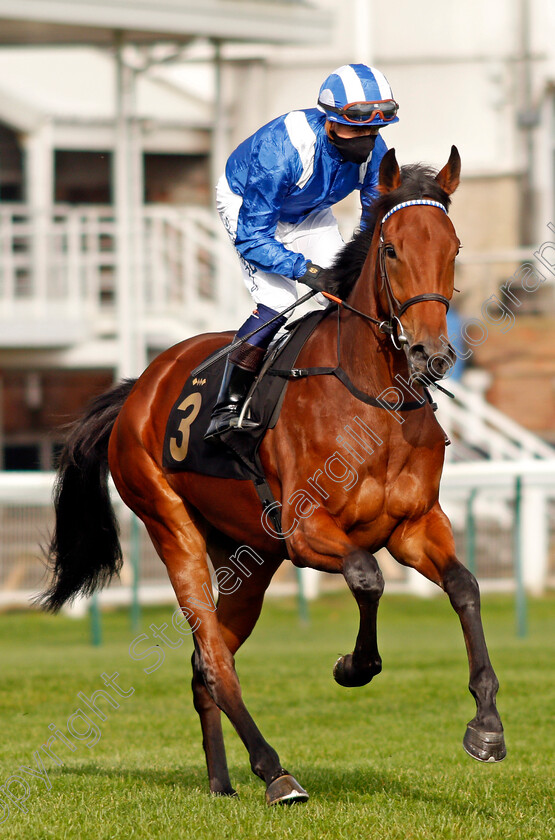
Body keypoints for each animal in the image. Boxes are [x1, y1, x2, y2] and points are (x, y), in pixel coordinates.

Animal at [41, 149, 506, 808]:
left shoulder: (415, 525)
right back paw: (274, 771)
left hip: (249, 559)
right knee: (213, 659)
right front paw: (353, 667)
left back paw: (221, 782)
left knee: (203, 665)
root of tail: (139, 386)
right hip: (171, 524)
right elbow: (367, 578)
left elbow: (465, 586)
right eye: (391, 248)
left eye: (454, 246)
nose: (430, 354)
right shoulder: (308, 532)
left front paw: (486, 726)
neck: (371, 399)